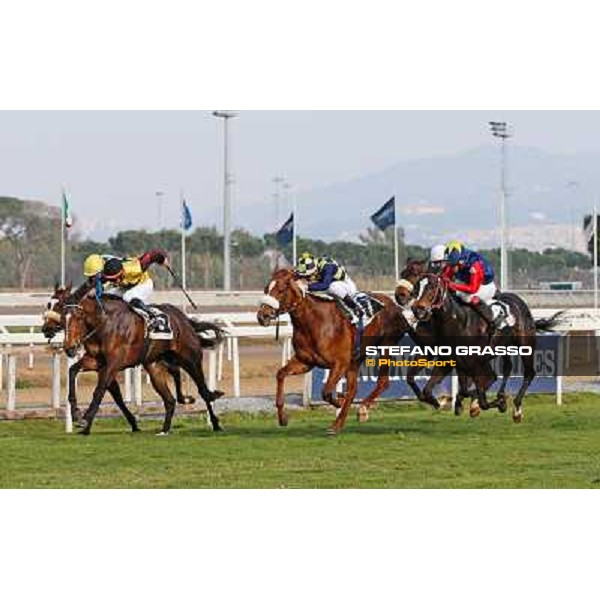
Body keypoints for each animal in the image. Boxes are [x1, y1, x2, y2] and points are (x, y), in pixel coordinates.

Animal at [62, 292, 225, 434]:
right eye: (63, 320)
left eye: (78, 318)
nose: (68, 348)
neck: (105, 324)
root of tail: (184, 319)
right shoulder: (97, 361)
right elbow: (72, 370)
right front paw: (76, 412)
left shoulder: (114, 363)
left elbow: (100, 389)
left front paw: (85, 419)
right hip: (155, 367)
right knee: (170, 399)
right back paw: (165, 429)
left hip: (190, 359)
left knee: (203, 390)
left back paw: (215, 423)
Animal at [255, 270, 406, 434]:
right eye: (266, 289)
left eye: (281, 290)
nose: (262, 316)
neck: (314, 323)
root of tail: (395, 305)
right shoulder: (305, 362)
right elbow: (280, 374)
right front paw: (283, 418)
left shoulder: (339, 364)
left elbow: (326, 392)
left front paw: (338, 401)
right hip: (355, 360)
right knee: (353, 390)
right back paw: (338, 424)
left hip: (386, 346)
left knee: (383, 382)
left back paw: (361, 410)